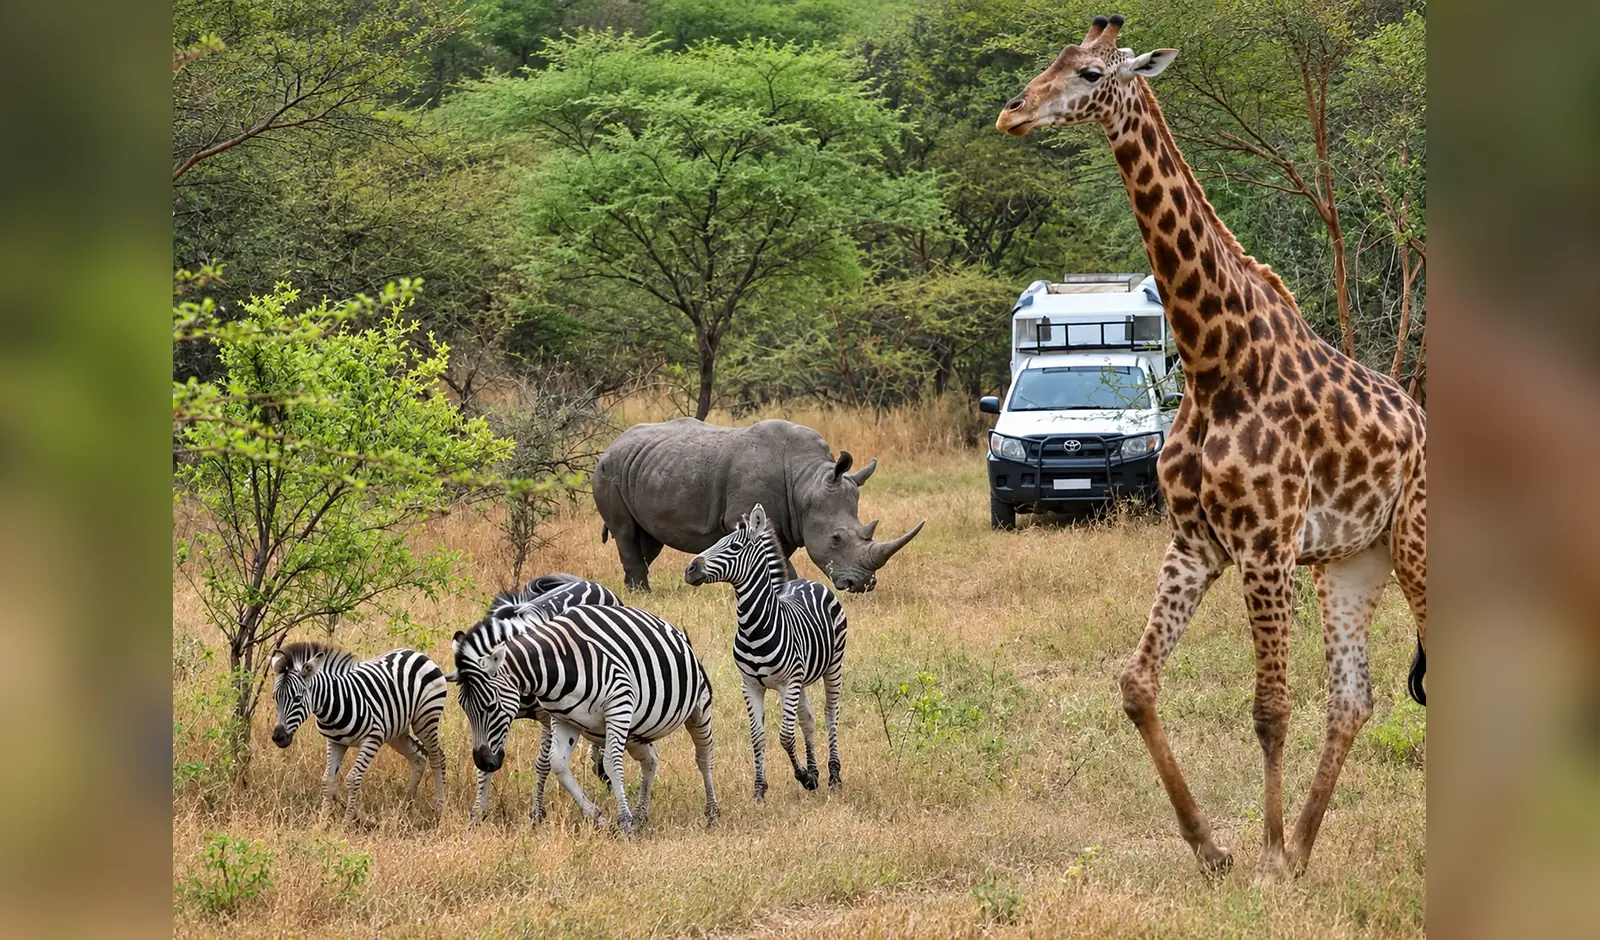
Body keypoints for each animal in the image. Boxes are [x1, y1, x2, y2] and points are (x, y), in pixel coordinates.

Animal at [995, 14, 1427, 881]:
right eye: (1052, 59)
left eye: (1091, 73)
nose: (1012, 113)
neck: (1216, 357)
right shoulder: (1196, 540)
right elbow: (1136, 683)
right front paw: (1217, 848)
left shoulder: (1264, 544)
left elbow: (1270, 708)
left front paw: (1262, 853)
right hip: (1351, 561)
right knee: (1354, 698)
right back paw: (1307, 847)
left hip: (1418, 543)